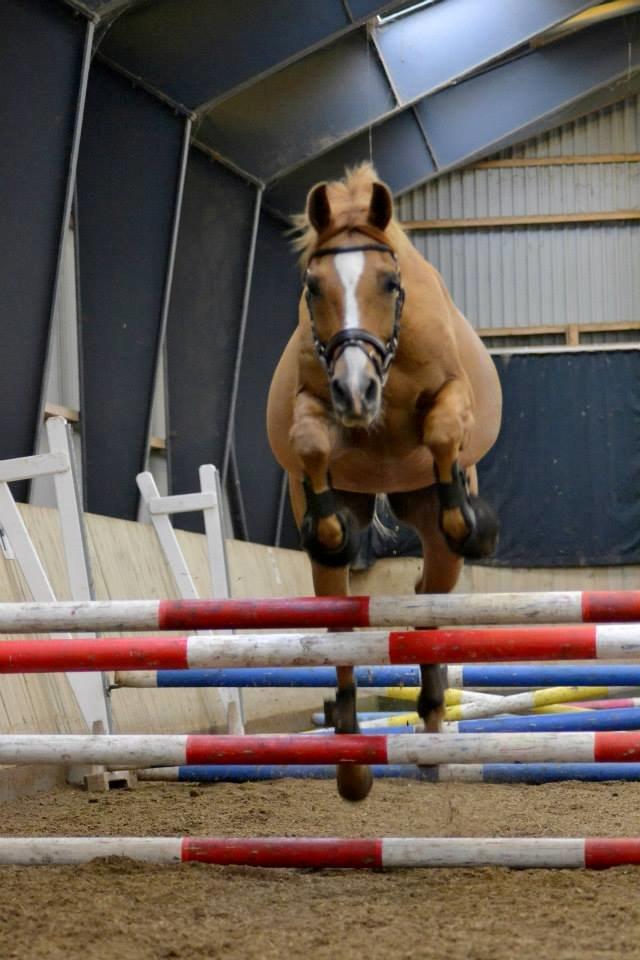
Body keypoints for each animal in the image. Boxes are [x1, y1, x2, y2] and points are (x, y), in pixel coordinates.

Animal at [268, 163, 502, 804]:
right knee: (342, 625)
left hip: (429, 528)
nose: (355, 393)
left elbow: (444, 433)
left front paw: (476, 523)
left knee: (429, 594)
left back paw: (433, 733)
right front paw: (334, 531)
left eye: (390, 283)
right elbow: (310, 444)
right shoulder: (314, 405)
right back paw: (354, 765)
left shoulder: (450, 397)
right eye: (313, 286)